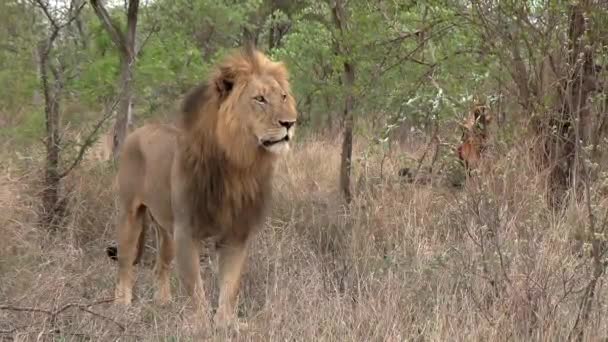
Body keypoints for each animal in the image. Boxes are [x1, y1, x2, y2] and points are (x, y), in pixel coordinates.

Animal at [111, 45, 300, 326]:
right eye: (260, 99)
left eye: (284, 97)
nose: (289, 123)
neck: (239, 165)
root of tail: (137, 131)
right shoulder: (187, 231)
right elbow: (196, 287)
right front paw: (201, 325)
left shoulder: (236, 233)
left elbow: (230, 287)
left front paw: (226, 324)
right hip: (130, 214)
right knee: (124, 261)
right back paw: (122, 304)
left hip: (166, 230)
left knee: (160, 266)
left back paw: (163, 302)